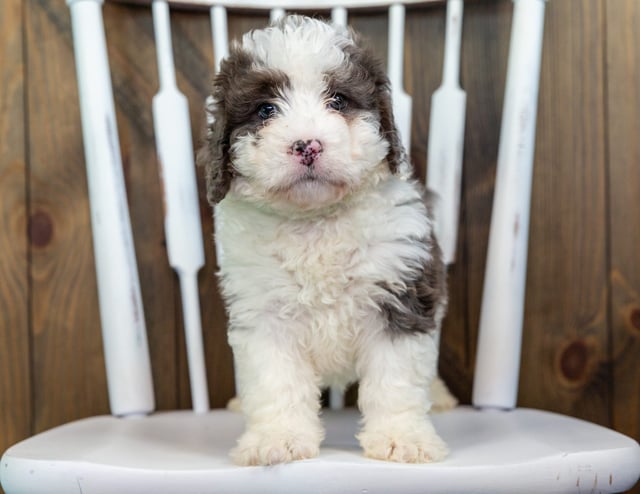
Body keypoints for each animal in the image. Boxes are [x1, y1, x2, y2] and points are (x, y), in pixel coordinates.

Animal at [202, 14, 452, 466]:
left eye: (337, 100)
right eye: (265, 109)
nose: (307, 145)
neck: (315, 223)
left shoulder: (400, 296)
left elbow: (396, 382)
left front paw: (402, 438)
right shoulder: (263, 314)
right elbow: (275, 382)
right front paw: (278, 439)